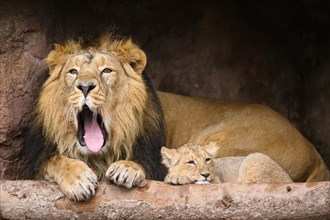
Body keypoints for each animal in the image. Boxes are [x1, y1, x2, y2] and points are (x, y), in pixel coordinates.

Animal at [24, 34, 166, 201]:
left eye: (106, 71)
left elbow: (143, 164)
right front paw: (78, 179)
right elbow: (55, 160)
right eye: (73, 71)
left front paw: (127, 168)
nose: (85, 87)